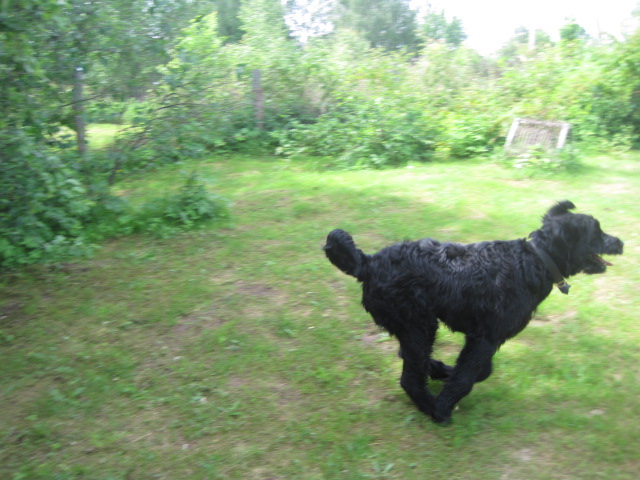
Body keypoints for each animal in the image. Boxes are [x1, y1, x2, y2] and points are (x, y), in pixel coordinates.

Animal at [324, 201, 623, 423]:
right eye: (596, 233)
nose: (620, 243)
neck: (535, 260)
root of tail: (366, 263)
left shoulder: (481, 337)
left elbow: (480, 370)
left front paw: (446, 372)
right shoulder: (486, 337)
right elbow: (469, 375)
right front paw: (444, 405)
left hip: (413, 326)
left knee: (410, 358)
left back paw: (436, 370)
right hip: (418, 326)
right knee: (410, 378)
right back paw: (432, 407)